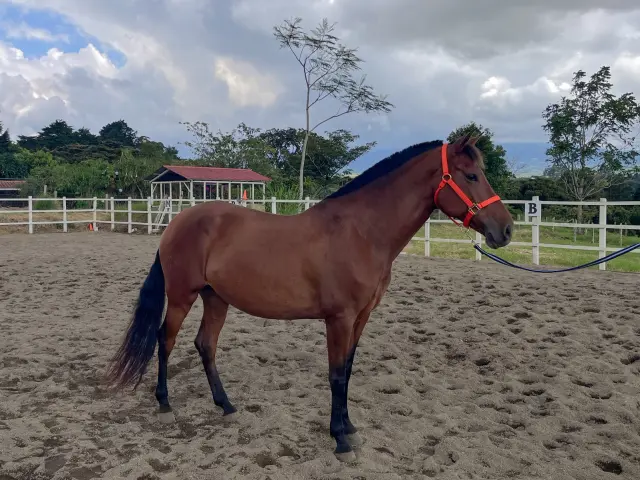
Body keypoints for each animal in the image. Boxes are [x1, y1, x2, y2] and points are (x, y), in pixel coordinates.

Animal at [106, 134, 514, 462]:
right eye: (471, 176)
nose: (506, 230)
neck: (361, 232)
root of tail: (176, 222)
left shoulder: (361, 317)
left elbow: (347, 371)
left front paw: (349, 428)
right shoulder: (340, 318)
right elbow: (335, 375)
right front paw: (340, 441)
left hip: (216, 299)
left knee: (205, 344)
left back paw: (226, 405)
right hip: (181, 296)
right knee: (165, 340)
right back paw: (164, 404)